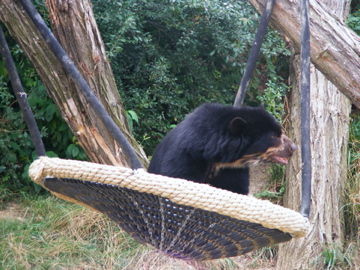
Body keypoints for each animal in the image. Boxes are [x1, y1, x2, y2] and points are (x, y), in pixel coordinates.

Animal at [148, 103, 296, 194]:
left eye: (280, 132)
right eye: (275, 136)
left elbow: (235, 188)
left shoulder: (232, 169)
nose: (294, 147)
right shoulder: (185, 156)